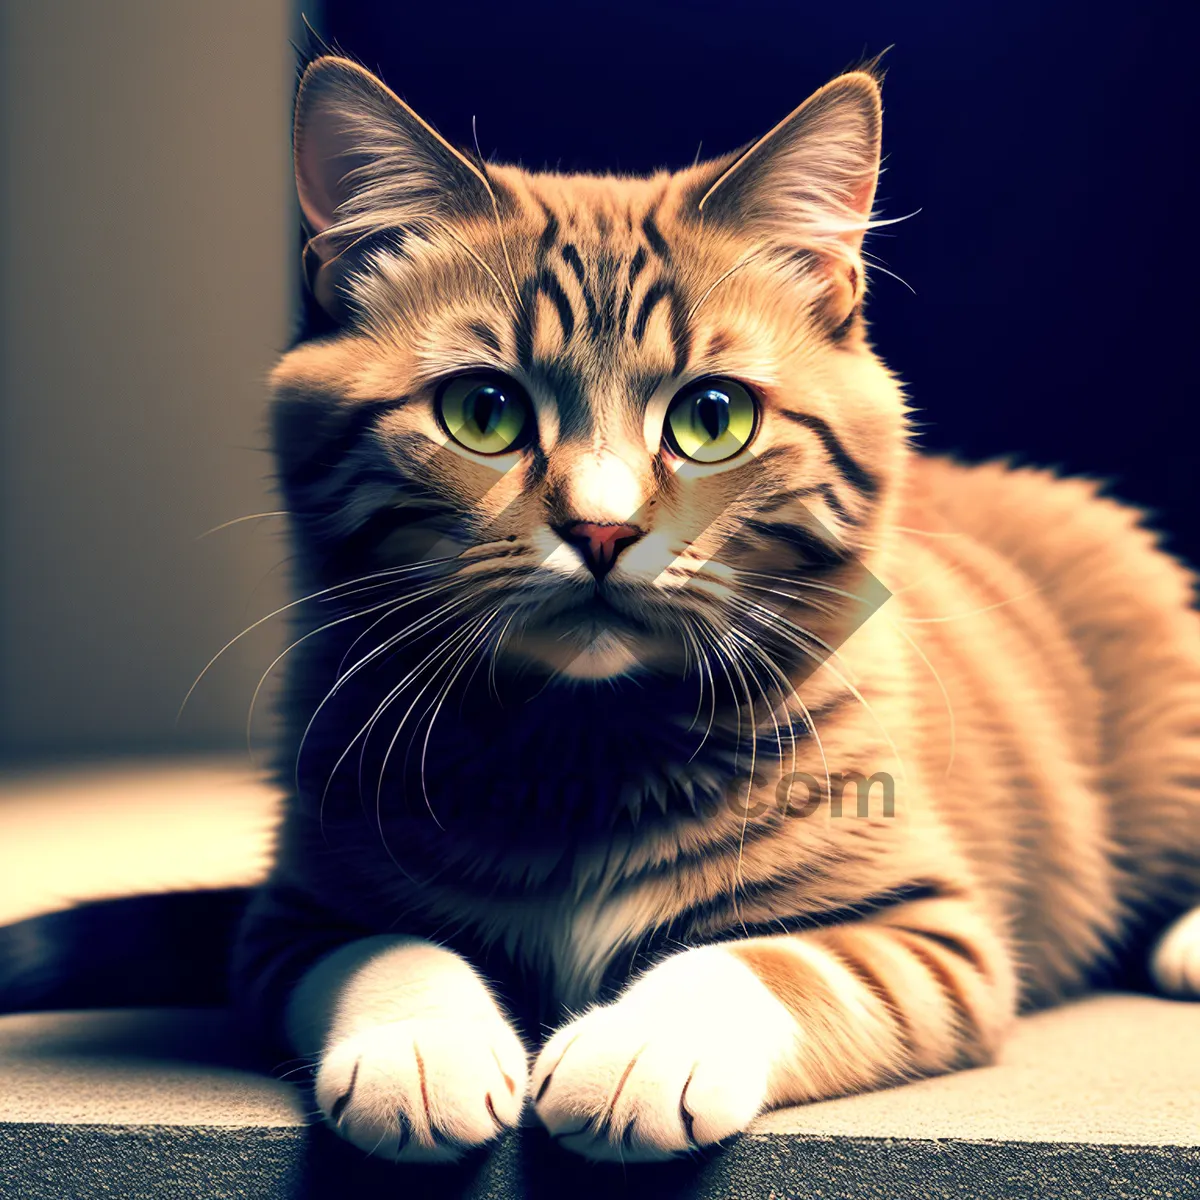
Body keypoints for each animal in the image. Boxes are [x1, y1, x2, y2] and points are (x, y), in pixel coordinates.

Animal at [229, 51, 1195, 1166]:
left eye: (713, 417)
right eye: (484, 412)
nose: (601, 529)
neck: (584, 745)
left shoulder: (932, 933)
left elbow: (768, 963)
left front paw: (644, 1048)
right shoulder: (289, 922)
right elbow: (385, 948)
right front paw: (422, 1045)